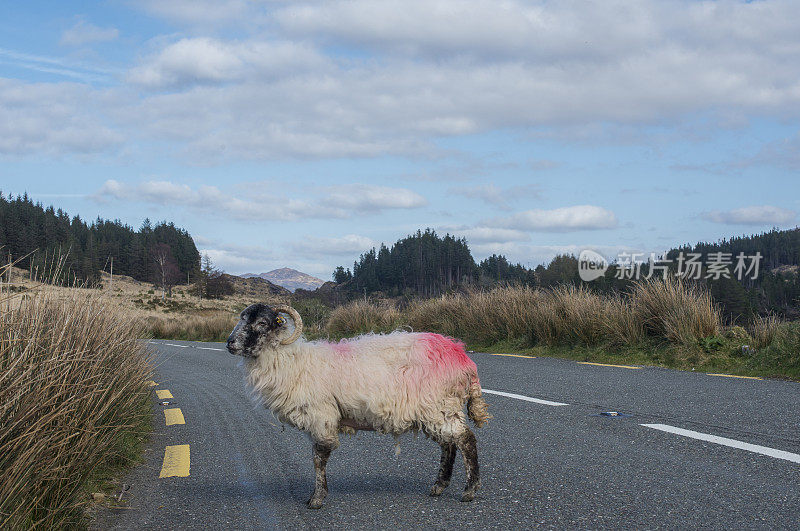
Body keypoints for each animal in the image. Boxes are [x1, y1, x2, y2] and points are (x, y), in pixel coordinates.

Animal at [225, 302, 488, 510]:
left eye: (262, 322)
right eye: (241, 318)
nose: (230, 343)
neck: (292, 361)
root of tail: (461, 355)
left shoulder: (322, 416)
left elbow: (318, 458)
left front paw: (316, 499)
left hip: (439, 404)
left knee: (465, 440)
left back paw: (469, 490)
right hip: (435, 410)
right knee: (448, 444)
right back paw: (439, 486)